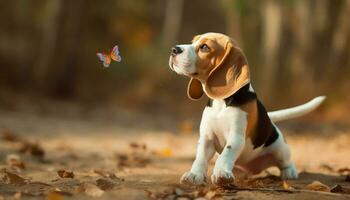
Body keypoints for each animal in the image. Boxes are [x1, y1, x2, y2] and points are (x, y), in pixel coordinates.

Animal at [168, 32, 324, 185]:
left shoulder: (236, 136)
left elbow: (226, 154)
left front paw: (221, 173)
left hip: (281, 149)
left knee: (286, 162)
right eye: (192, 41)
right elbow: (200, 158)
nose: (174, 49)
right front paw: (194, 175)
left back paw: (289, 172)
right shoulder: (207, 137)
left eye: (204, 47)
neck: (221, 103)